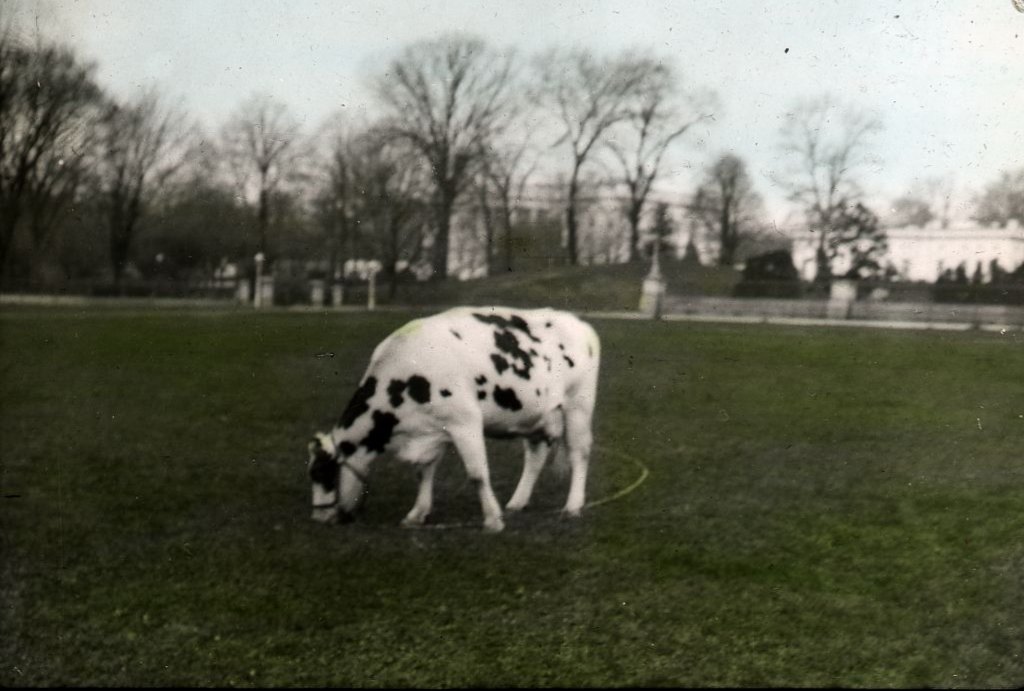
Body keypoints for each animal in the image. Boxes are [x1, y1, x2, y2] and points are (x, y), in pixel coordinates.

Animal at [307, 306, 601, 532]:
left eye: (323, 473)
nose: (319, 518)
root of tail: (581, 324)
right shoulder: (432, 429)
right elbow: (423, 472)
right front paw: (417, 514)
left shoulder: (465, 422)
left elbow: (477, 474)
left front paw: (493, 520)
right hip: (535, 415)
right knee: (535, 456)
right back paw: (517, 502)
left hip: (578, 405)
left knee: (579, 453)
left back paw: (573, 506)